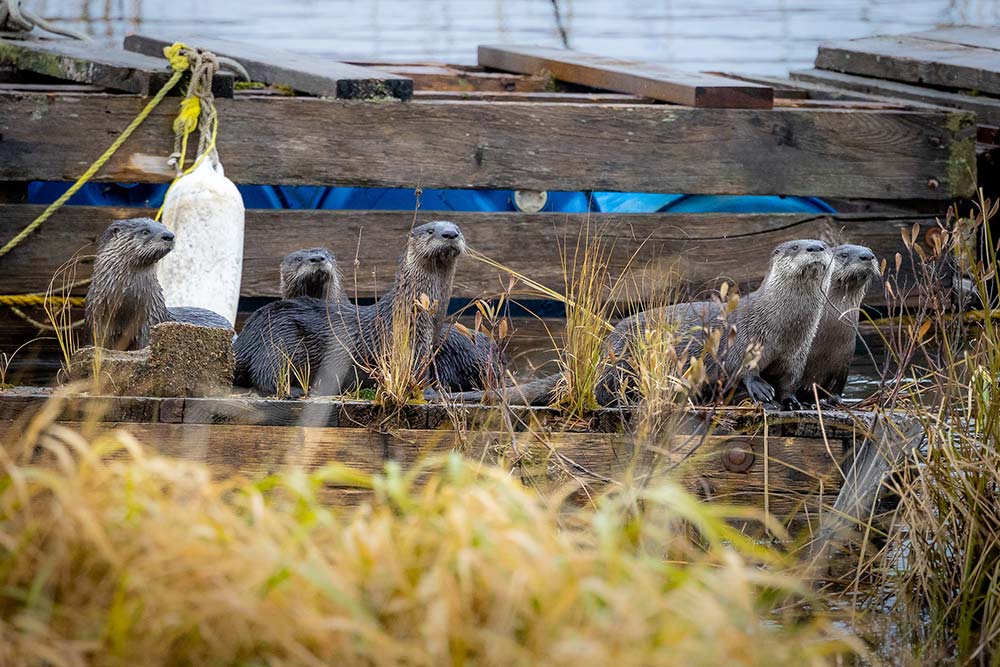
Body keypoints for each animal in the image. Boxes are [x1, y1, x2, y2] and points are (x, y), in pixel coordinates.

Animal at [84, 217, 231, 351]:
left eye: (164, 227)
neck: (126, 302)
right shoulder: (99, 319)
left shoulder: (149, 318)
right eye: (145, 231)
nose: (169, 235)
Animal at [235, 221, 466, 395]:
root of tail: (247, 337)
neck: (412, 309)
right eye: (430, 230)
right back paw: (296, 391)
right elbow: (416, 374)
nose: (450, 234)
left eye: (457, 228)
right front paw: (430, 393)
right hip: (281, 341)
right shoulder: (409, 343)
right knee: (267, 373)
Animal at [795, 244, 879, 405]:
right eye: (844, 254)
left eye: (871, 252)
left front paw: (838, 402)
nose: (867, 256)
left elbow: (837, 389)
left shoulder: (844, 361)